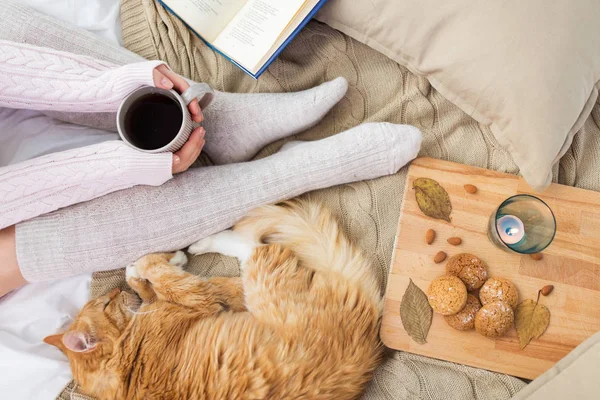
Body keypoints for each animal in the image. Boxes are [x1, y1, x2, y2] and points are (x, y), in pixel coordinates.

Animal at [42, 202, 382, 398]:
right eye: (106, 304)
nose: (116, 292)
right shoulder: (201, 299)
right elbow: (165, 277)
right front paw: (160, 262)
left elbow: (150, 283)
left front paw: (135, 271)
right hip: (262, 287)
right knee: (253, 248)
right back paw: (205, 241)